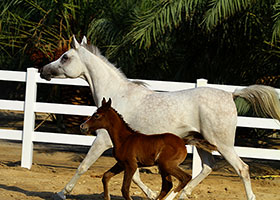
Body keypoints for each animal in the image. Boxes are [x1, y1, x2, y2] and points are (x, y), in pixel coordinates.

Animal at [40, 36, 280, 200]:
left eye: (65, 57)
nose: (43, 70)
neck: (117, 95)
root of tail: (231, 94)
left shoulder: (102, 140)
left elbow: (83, 166)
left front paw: (61, 193)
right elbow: (136, 175)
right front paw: (152, 193)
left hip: (223, 143)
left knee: (242, 169)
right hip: (202, 142)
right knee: (208, 167)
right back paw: (179, 195)